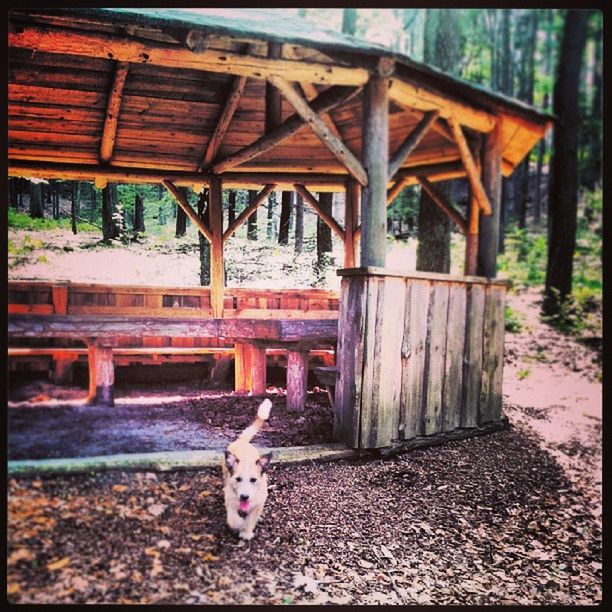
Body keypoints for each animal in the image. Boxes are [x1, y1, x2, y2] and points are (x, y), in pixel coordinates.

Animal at [222, 400, 272, 536]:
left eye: (253, 480)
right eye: (238, 479)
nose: (244, 496)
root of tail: (242, 441)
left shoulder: (258, 505)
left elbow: (251, 520)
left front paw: (246, 533)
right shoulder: (230, 501)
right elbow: (233, 519)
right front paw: (238, 525)